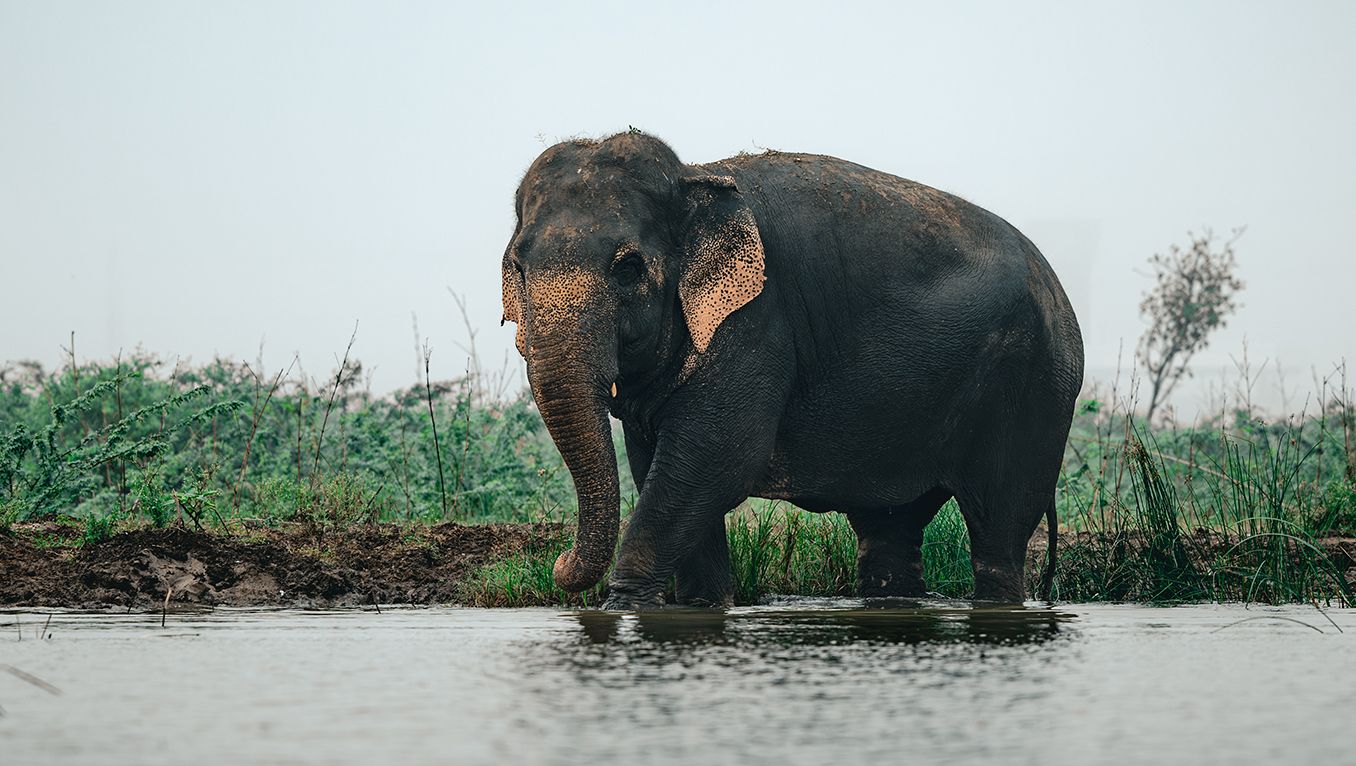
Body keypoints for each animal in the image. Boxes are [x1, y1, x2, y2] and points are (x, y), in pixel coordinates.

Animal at [500, 131, 1084, 609]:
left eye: (627, 269)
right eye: (519, 268)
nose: (559, 565)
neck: (694, 176)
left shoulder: (757, 321)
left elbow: (712, 459)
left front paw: (621, 609)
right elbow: (660, 467)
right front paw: (698, 607)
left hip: (1032, 387)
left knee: (998, 529)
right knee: (890, 528)